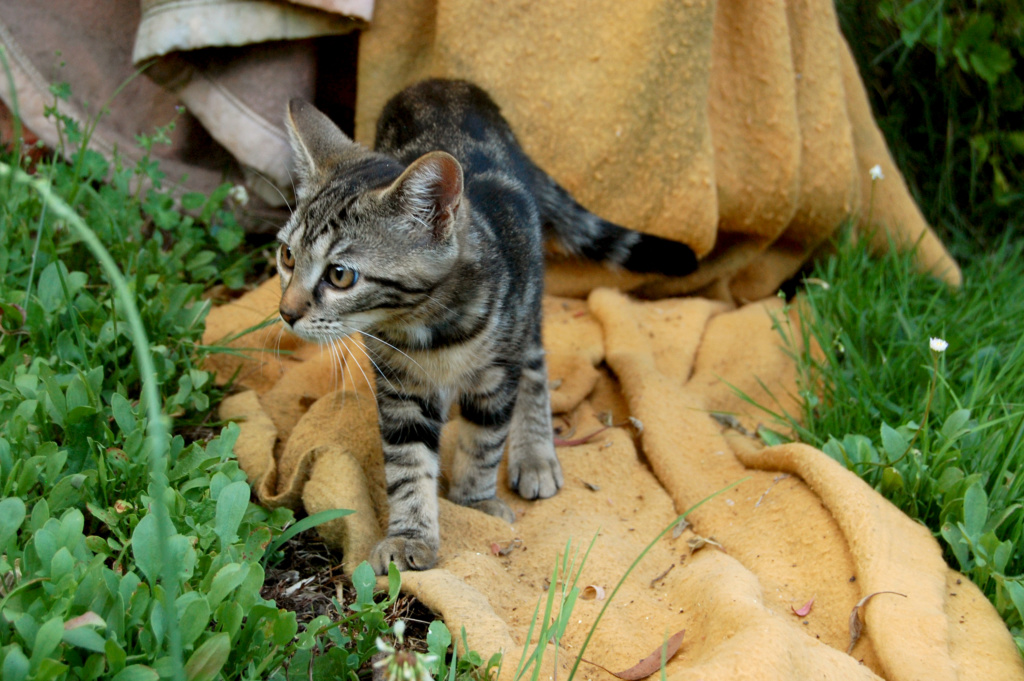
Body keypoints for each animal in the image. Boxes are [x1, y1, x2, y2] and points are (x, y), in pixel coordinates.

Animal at [278, 79, 696, 573]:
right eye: (287, 256)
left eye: (341, 275)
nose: (285, 311)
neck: (428, 329)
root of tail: (445, 82)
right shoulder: (400, 386)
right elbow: (408, 462)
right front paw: (410, 534)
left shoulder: (497, 372)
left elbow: (484, 439)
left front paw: (474, 503)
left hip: (528, 301)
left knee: (534, 363)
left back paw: (535, 453)